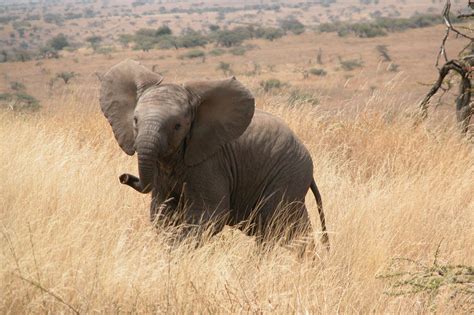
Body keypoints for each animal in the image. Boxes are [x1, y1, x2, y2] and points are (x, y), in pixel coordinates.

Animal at [99, 58, 330, 247]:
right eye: (135, 121)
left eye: (177, 126)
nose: (124, 177)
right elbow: (162, 212)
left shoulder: (211, 162)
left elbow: (209, 216)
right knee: (294, 229)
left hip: (288, 174)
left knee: (275, 226)